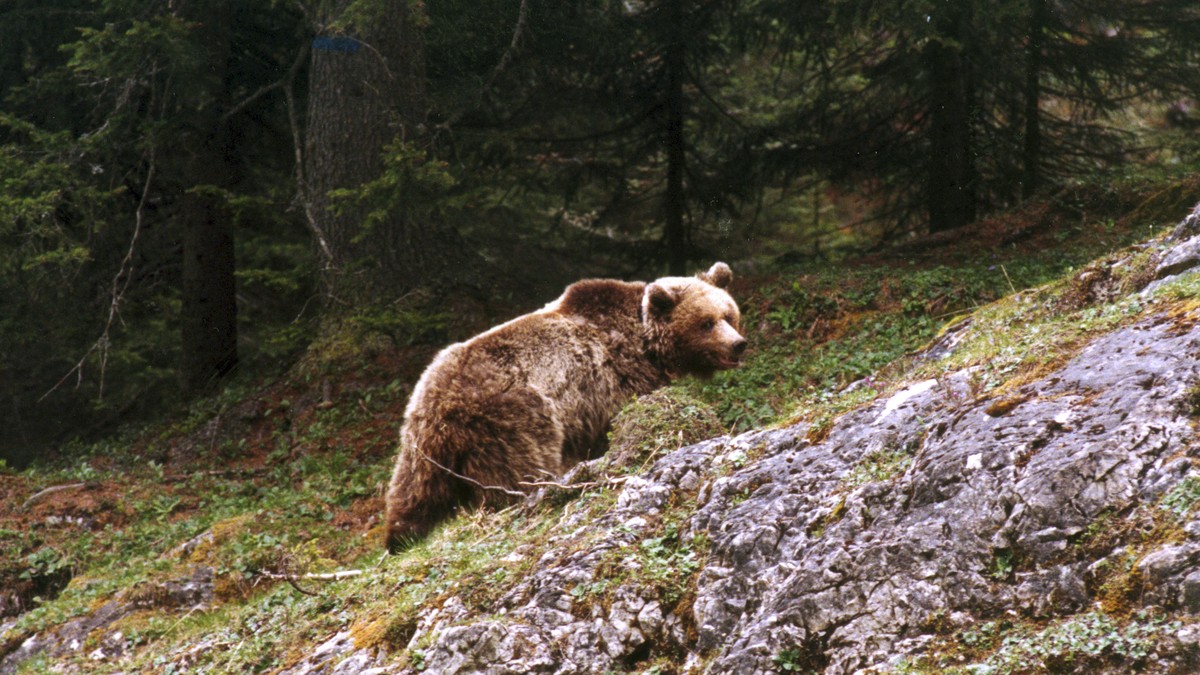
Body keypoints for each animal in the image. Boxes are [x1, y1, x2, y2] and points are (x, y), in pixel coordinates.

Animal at [384, 262, 746, 551]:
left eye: (729, 315)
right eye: (706, 322)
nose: (738, 345)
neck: (646, 341)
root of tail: (441, 400)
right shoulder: (614, 378)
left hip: (421, 444)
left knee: (414, 490)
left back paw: (400, 537)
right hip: (512, 418)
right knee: (520, 471)